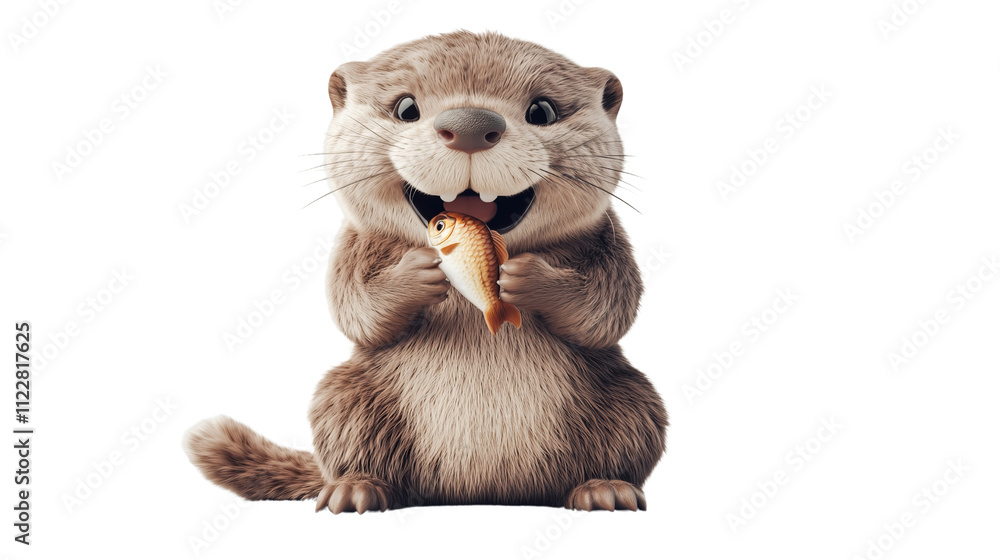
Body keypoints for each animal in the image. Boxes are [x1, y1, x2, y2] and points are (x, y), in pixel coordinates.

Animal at [184, 30, 667, 513]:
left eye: (542, 110)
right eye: (405, 107)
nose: (470, 125)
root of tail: (483, 491)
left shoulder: (609, 242)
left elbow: (607, 312)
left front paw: (527, 276)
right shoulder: (352, 244)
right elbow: (353, 309)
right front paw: (416, 276)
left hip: (629, 400)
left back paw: (604, 488)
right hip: (345, 398)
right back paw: (355, 489)